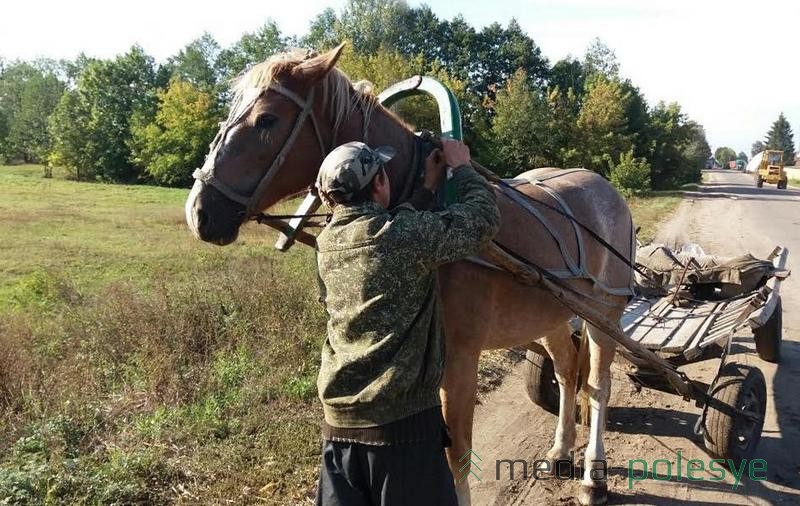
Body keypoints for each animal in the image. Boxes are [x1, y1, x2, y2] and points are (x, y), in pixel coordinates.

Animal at [184, 44, 636, 506]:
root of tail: (605, 188)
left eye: (266, 120)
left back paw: (593, 475)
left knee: (597, 384)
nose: (198, 211)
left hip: (604, 314)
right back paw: (561, 450)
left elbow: (458, 452)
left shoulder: (460, 357)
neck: (426, 201)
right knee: (565, 370)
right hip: (551, 315)